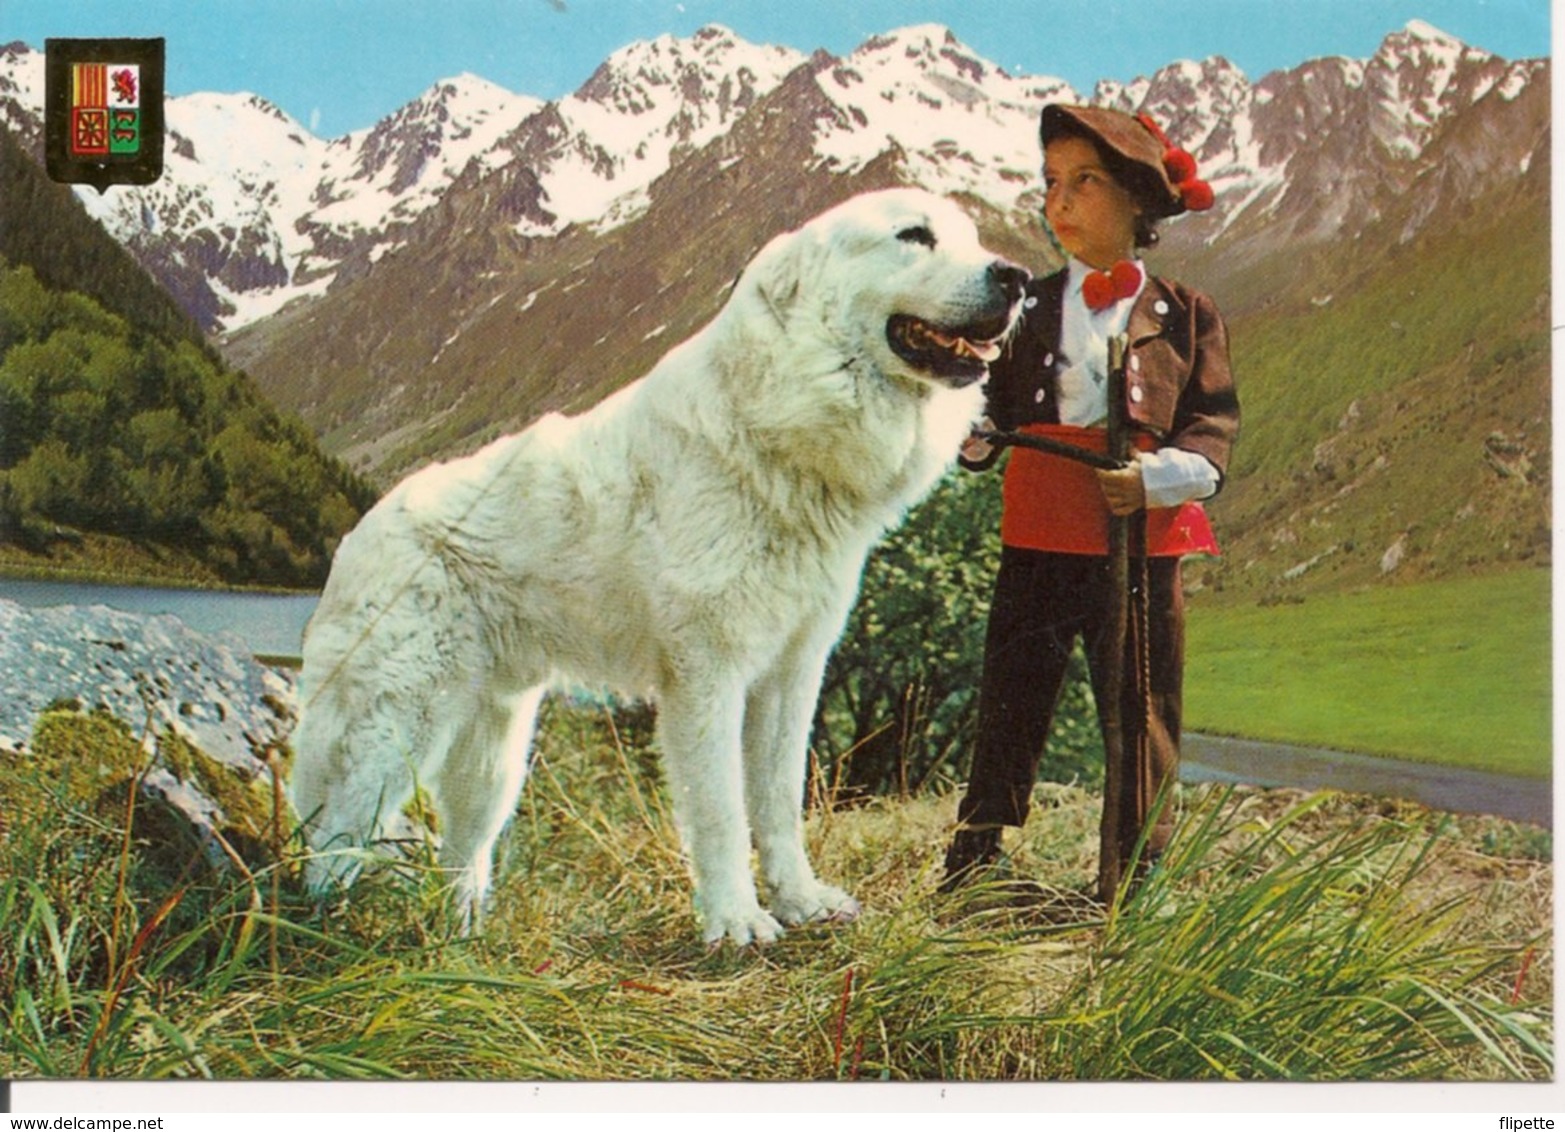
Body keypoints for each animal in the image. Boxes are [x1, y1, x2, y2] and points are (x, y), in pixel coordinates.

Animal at [289, 190, 1026, 945]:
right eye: (914, 236)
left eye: (971, 237)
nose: (1017, 277)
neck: (775, 430)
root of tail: (366, 525)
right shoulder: (707, 675)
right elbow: (723, 811)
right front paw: (737, 920)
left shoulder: (791, 673)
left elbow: (779, 803)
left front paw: (799, 901)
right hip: (394, 730)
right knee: (331, 842)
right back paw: (326, 933)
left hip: (492, 754)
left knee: (460, 854)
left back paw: (462, 942)